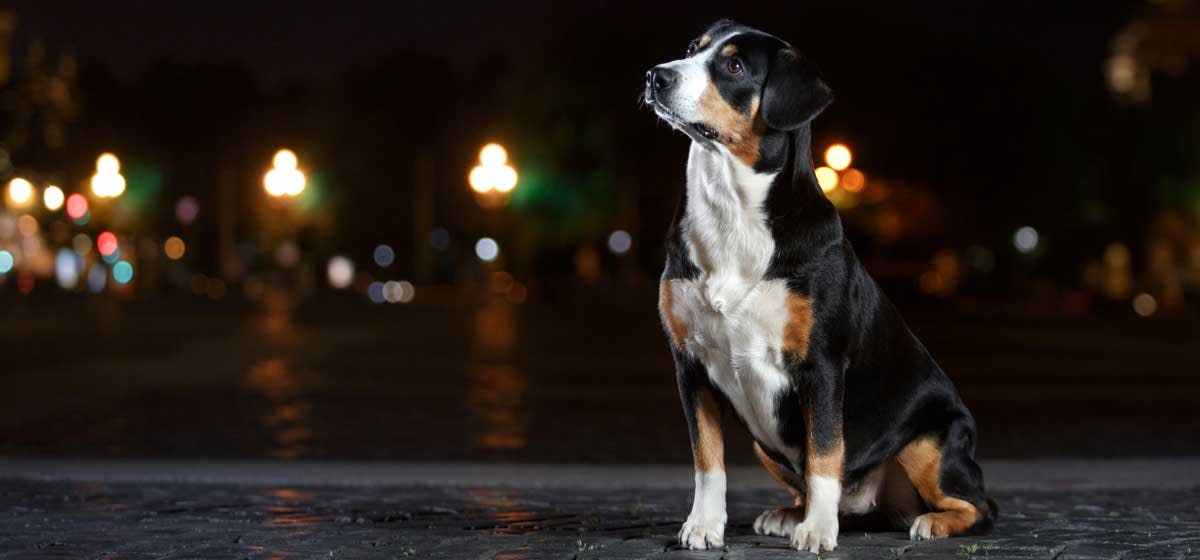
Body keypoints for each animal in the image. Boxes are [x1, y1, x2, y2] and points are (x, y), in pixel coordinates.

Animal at [643, 20, 998, 551]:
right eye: (691, 50)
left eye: (734, 66)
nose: (656, 76)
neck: (732, 211)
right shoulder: (691, 364)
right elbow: (708, 460)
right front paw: (704, 524)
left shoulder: (822, 364)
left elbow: (826, 453)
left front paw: (816, 531)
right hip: (764, 442)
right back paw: (793, 513)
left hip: (932, 443)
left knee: (977, 506)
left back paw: (927, 522)